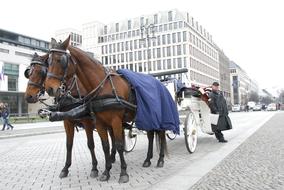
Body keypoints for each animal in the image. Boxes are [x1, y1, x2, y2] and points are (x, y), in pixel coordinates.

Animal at [44, 35, 169, 183]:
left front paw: (123, 173)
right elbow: (104, 146)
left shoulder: (114, 121)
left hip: (156, 116)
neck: (103, 86)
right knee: (150, 135)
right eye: (48, 61)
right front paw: (106, 171)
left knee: (160, 134)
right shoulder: (98, 123)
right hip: (147, 117)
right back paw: (148, 159)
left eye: (60, 60)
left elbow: (119, 145)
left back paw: (160, 160)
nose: (49, 88)